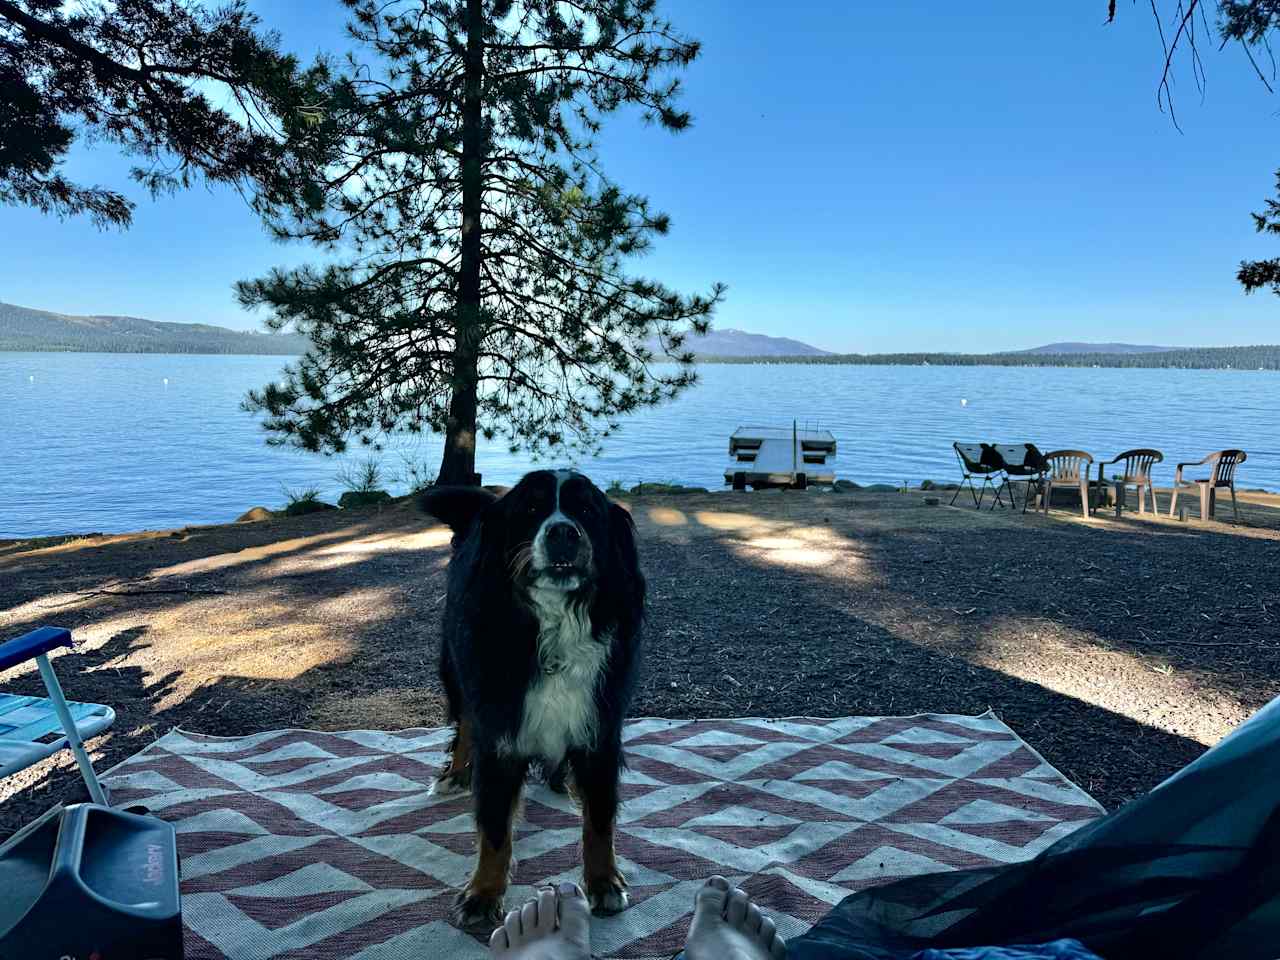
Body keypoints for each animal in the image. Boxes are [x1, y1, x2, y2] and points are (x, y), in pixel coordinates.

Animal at [419, 471, 645, 936]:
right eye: (531, 509)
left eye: (587, 510)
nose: (563, 532)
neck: (555, 625)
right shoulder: (500, 731)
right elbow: (494, 829)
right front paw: (483, 893)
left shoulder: (600, 729)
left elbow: (599, 818)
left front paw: (603, 882)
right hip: (458, 670)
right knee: (465, 725)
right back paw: (455, 774)